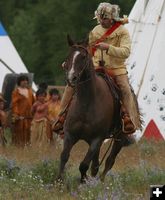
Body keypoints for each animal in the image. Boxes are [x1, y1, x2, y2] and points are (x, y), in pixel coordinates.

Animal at [57, 36, 133, 183]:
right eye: (68, 56)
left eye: (83, 56)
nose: (71, 78)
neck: (87, 103)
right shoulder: (70, 135)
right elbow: (64, 156)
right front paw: (58, 181)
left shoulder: (97, 139)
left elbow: (83, 165)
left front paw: (84, 182)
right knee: (96, 164)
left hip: (119, 138)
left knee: (109, 161)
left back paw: (101, 181)